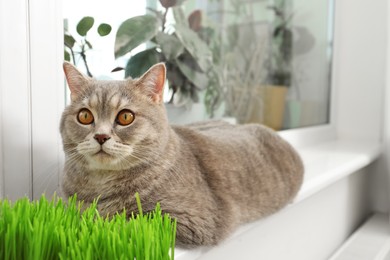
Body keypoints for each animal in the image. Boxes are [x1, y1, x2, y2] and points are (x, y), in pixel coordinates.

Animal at [61, 61, 304, 248]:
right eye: (84, 116)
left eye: (125, 117)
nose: (101, 136)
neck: (101, 185)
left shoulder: (190, 221)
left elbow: (121, 222)